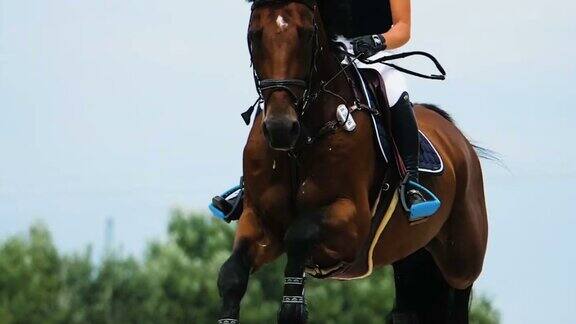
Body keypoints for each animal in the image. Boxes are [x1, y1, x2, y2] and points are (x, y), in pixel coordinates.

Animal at [218, 1, 488, 322]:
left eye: (307, 35)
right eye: (254, 35)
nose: (280, 128)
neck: (302, 140)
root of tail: (459, 140)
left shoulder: (351, 222)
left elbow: (298, 234)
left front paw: (294, 307)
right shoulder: (260, 220)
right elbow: (232, 275)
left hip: (461, 262)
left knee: (458, 289)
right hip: (412, 256)